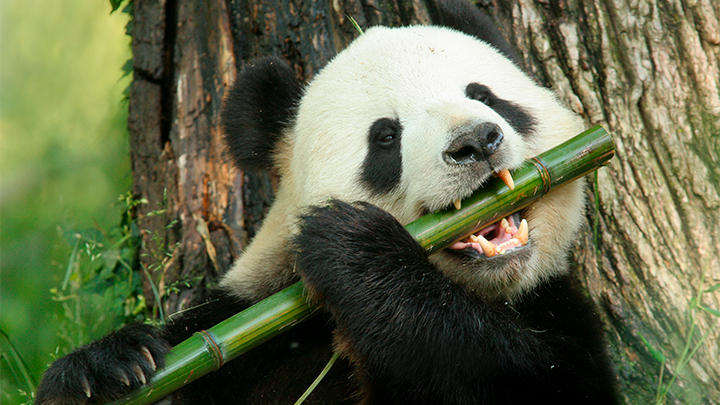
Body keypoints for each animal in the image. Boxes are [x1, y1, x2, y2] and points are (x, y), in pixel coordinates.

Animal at [35, 0, 620, 402]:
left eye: (484, 96)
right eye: (385, 137)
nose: (475, 142)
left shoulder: (556, 308)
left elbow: (521, 375)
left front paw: (355, 250)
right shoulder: (253, 336)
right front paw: (104, 368)